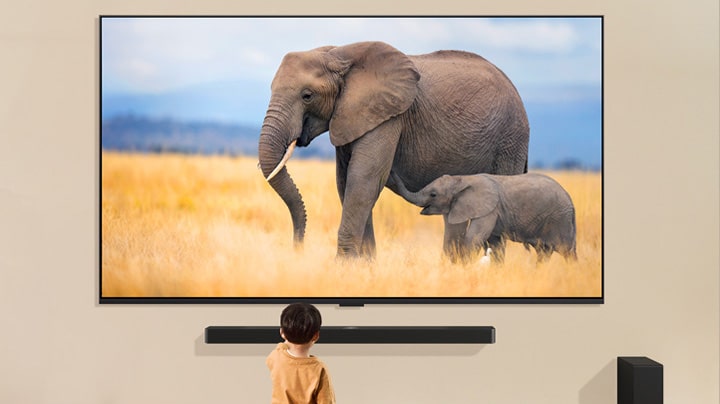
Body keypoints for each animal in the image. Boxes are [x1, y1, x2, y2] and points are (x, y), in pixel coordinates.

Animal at [258, 41, 528, 258]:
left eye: (307, 95)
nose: (298, 249)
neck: (339, 54)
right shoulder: (351, 116)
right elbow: (346, 183)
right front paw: (363, 267)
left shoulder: (389, 116)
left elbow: (363, 180)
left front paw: (343, 267)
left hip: (510, 141)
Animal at [390, 171, 576, 264]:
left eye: (433, 194)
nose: (392, 171)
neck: (462, 179)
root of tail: (570, 200)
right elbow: (493, 243)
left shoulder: (489, 210)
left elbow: (474, 237)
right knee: (544, 253)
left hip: (560, 219)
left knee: (567, 251)